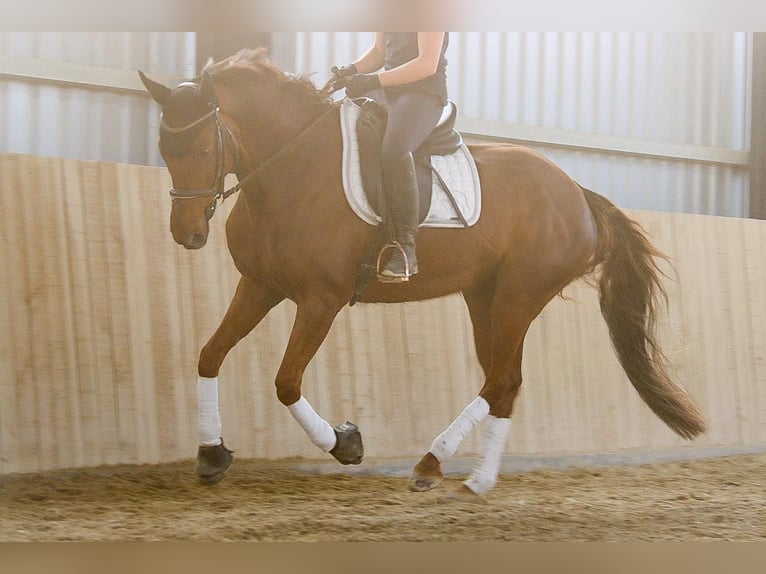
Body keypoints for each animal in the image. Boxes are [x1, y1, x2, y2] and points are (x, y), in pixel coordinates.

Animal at [139, 48, 706, 500]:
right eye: (165, 150)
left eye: (204, 149)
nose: (187, 234)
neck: (291, 168)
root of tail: (577, 194)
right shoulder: (260, 286)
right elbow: (209, 355)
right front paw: (212, 454)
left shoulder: (321, 300)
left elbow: (285, 381)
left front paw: (346, 443)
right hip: (485, 296)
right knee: (504, 382)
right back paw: (476, 480)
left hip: (520, 294)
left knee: (500, 379)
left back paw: (433, 464)